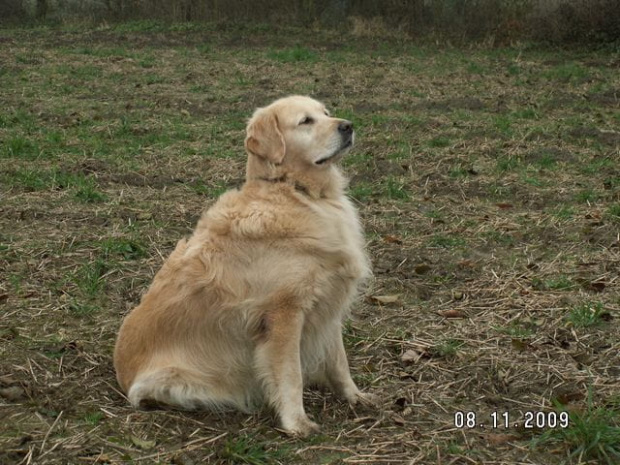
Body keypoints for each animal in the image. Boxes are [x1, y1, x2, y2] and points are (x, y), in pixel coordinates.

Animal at [114, 94, 370, 436]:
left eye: (326, 113)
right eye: (305, 121)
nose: (348, 126)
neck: (294, 191)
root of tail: (120, 374)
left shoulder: (329, 302)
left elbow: (339, 361)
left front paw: (355, 396)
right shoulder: (284, 313)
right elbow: (290, 375)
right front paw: (296, 422)